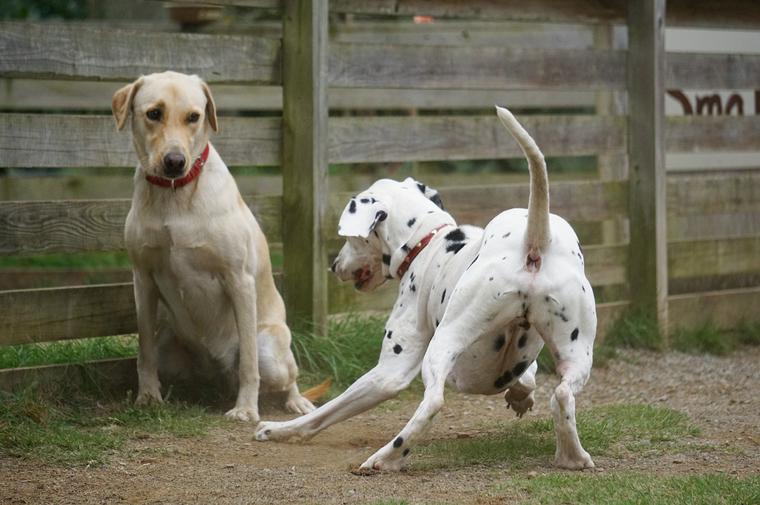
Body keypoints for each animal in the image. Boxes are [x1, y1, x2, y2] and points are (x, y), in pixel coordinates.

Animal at [111, 72, 316, 422]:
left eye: (194, 117)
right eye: (154, 113)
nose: (175, 162)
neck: (175, 195)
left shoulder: (239, 280)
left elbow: (248, 363)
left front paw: (245, 409)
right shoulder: (143, 278)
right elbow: (144, 350)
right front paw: (148, 395)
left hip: (272, 350)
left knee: (284, 375)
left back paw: (296, 401)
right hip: (171, 350)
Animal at [258, 104, 596, 470]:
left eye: (351, 238)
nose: (334, 266)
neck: (428, 241)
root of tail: (534, 242)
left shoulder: (390, 372)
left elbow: (325, 412)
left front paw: (278, 430)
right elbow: (528, 376)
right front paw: (521, 395)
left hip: (442, 345)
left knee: (432, 403)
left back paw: (387, 458)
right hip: (577, 356)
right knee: (562, 396)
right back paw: (572, 455)